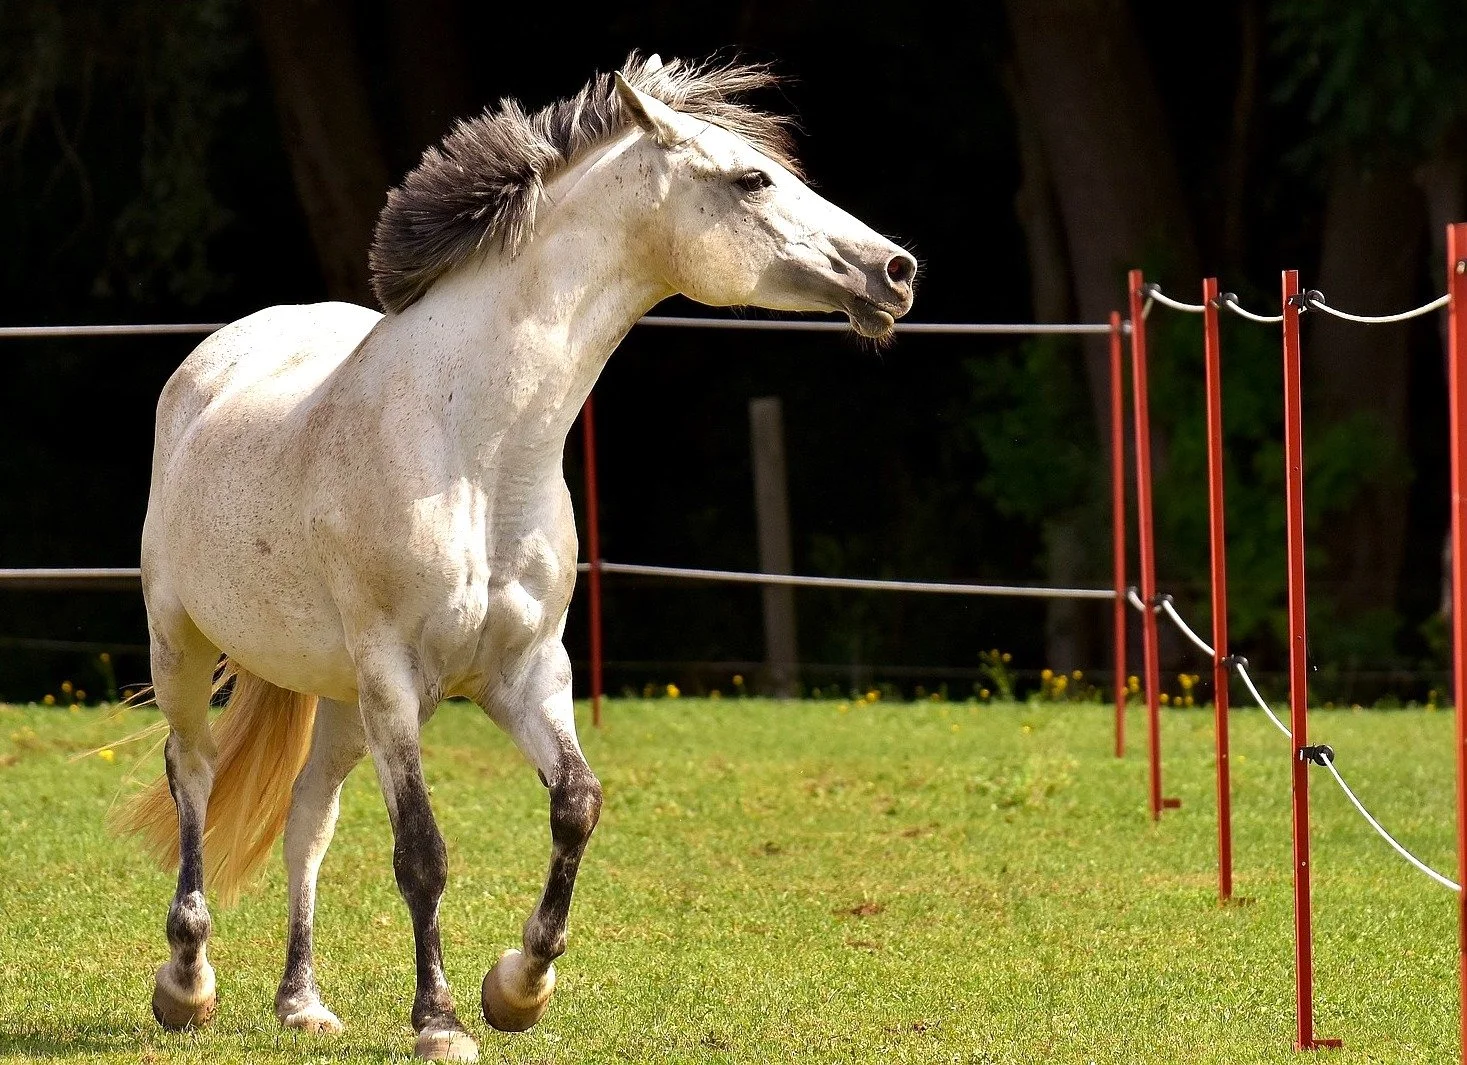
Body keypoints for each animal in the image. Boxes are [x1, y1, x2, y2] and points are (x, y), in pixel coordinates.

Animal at [118, 52, 916, 1062]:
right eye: (752, 180)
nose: (894, 271)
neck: (475, 446)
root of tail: (216, 358)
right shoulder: (396, 679)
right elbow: (421, 853)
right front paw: (440, 1020)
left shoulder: (526, 668)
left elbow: (577, 802)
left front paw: (519, 986)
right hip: (183, 645)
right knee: (193, 775)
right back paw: (186, 981)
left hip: (337, 697)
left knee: (307, 818)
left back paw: (301, 1001)